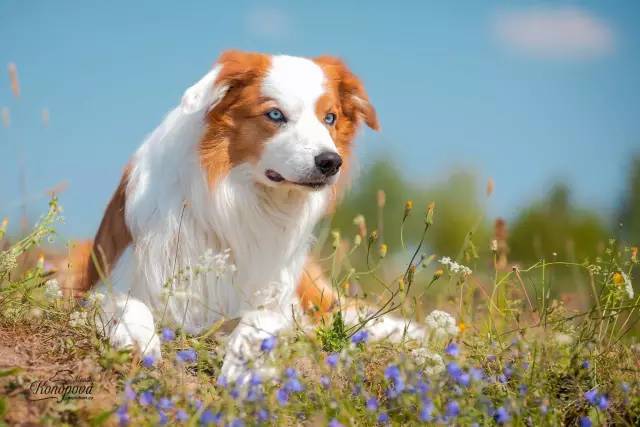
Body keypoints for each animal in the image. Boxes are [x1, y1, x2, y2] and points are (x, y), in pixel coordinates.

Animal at [71, 51, 424, 384]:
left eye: (330, 117)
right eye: (275, 114)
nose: (330, 162)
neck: (241, 200)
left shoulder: (278, 301)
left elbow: (259, 319)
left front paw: (244, 363)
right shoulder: (106, 284)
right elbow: (127, 303)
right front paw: (137, 339)